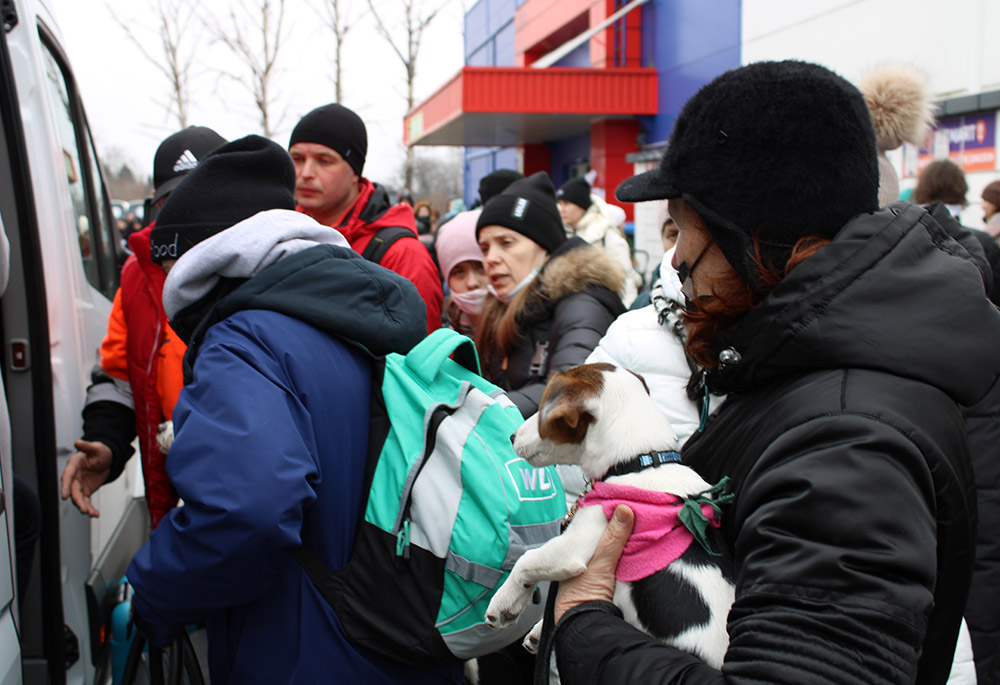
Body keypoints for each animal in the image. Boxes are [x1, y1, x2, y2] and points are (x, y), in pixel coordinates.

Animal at [484, 364, 736, 668]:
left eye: (545, 408)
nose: (511, 437)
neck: (637, 460)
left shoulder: (577, 543)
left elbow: (527, 560)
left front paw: (504, 602)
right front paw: (540, 629)